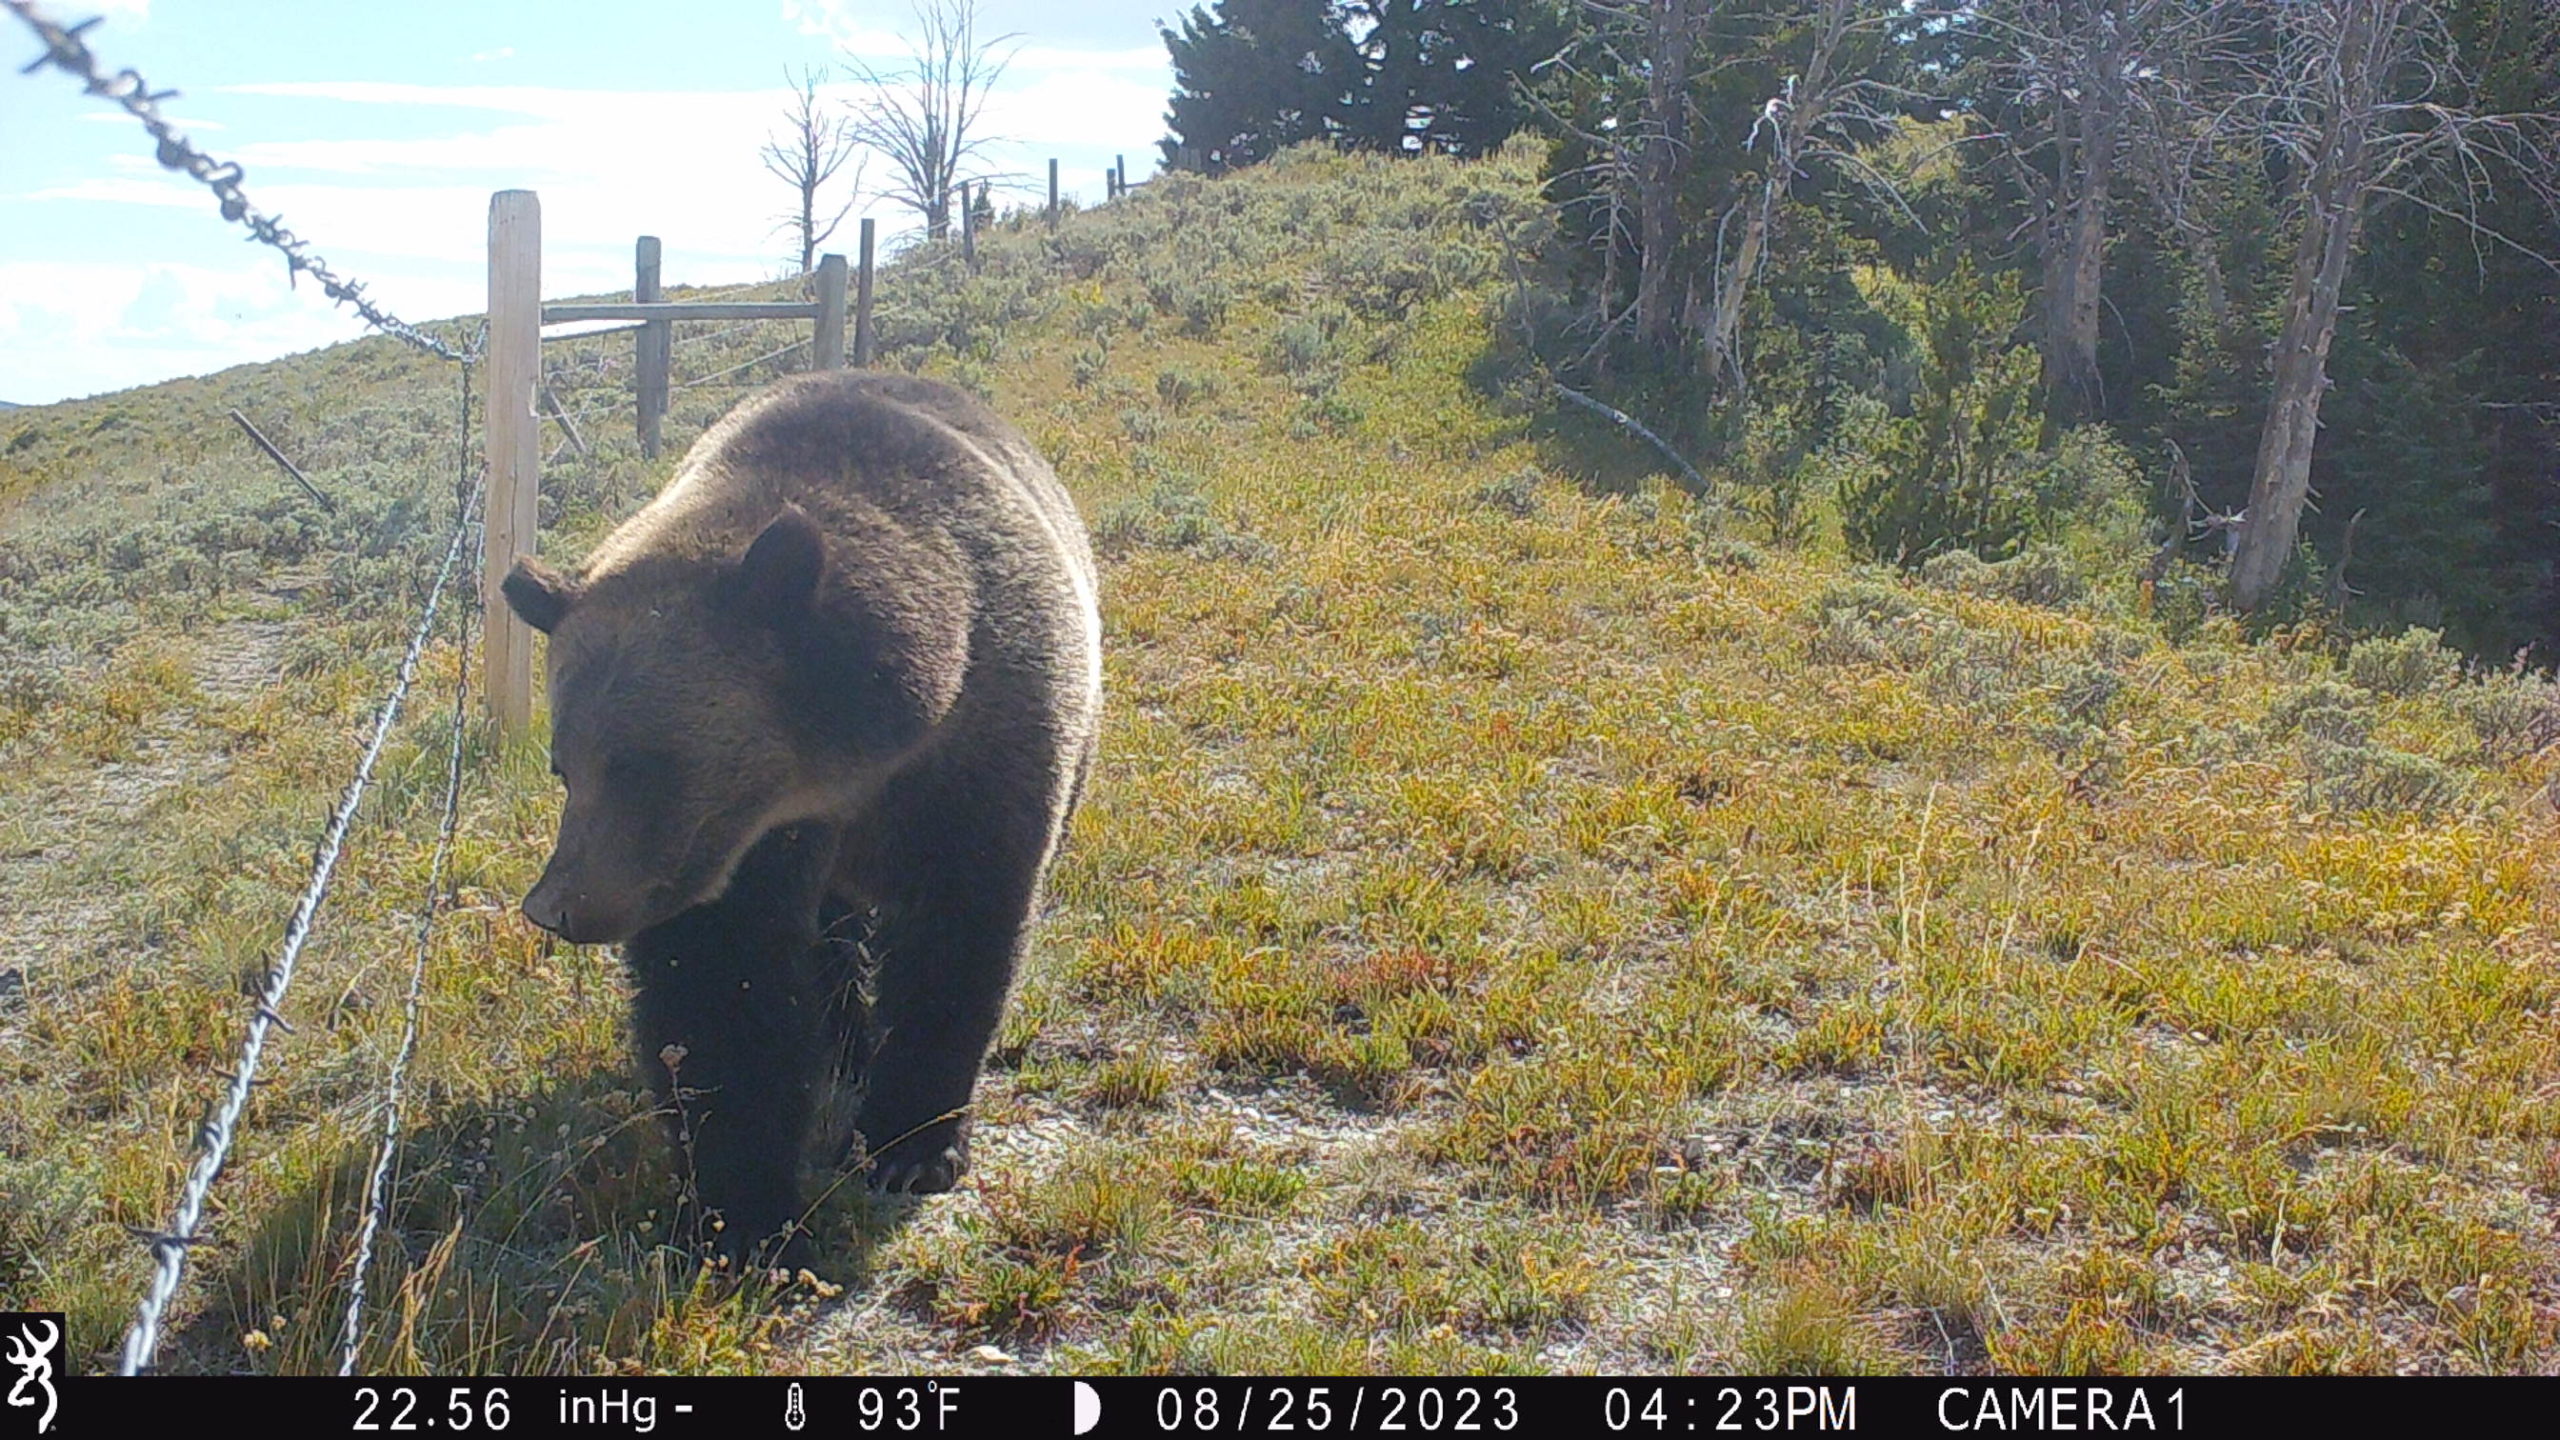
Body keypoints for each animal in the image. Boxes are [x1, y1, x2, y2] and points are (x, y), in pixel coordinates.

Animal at [499, 369, 1102, 1264]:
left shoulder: (984, 750)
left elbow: (959, 939)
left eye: (649, 764)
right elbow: (724, 993)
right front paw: (745, 1212)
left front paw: (911, 1144)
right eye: (563, 766)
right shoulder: (746, 855)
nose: (559, 906)